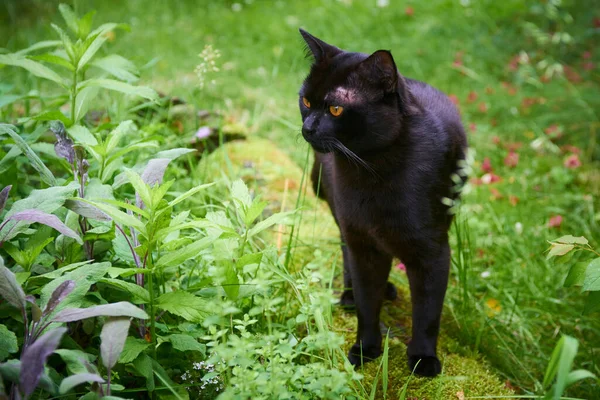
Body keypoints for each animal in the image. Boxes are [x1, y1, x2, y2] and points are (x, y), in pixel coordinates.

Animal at [298, 29, 466, 376]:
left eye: (336, 109)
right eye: (306, 101)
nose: (307, 128)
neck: (372, 169)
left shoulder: (433, 251)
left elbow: (428, 311)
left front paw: (424, 360)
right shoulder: (363, 242)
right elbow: (367, 303)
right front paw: (365, 350)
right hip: (343, 219)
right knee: (346, 255)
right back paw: (350, 296)